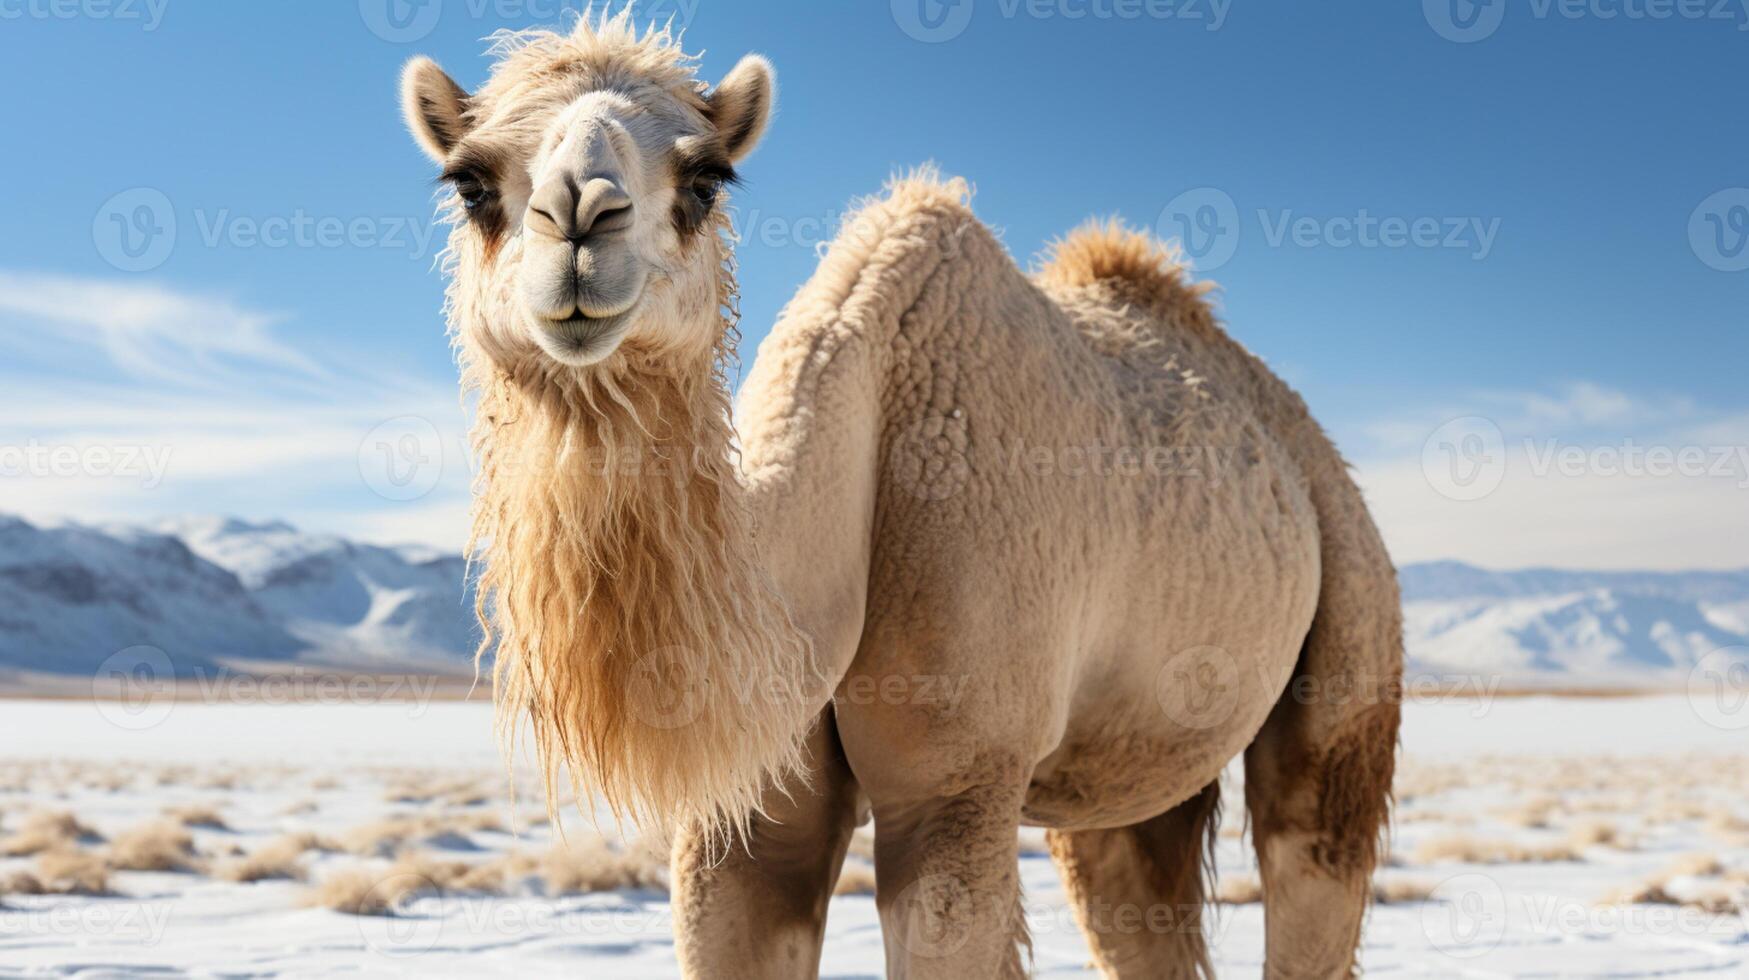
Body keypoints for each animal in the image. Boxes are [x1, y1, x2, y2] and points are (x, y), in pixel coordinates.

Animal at [402, 11, 1399, 973]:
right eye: (470, 184)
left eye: (706, 179)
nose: (578, 221)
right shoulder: (749, 815)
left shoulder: (960, 773)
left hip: (1352, 618)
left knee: (1312, 840)